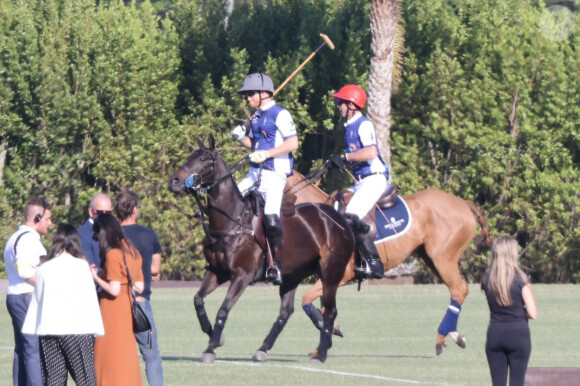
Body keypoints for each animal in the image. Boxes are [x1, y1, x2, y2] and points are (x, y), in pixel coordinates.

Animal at [168, 137, 356, 364]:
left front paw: (211, 348)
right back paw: (263, 348)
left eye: (203, 159)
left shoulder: (242, 276)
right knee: (286, 311)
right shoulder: (217, 272)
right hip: (293, 275)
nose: (174, 181)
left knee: (330, 311)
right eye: (190, 157)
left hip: (330, 273)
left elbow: (223, 310)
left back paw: (320, 354)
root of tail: (340, 219)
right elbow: (198, 300)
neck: (232, 222)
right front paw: (216, 337)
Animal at [286, 172, 490, 356]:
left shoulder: (343, 275)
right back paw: (455, 335)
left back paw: (441, 340)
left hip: (443, 258)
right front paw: (325, 340)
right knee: (458, 290)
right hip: (432, 258)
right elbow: (322, 308)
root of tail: (463, 203)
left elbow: (306, 300)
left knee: (459, 289)